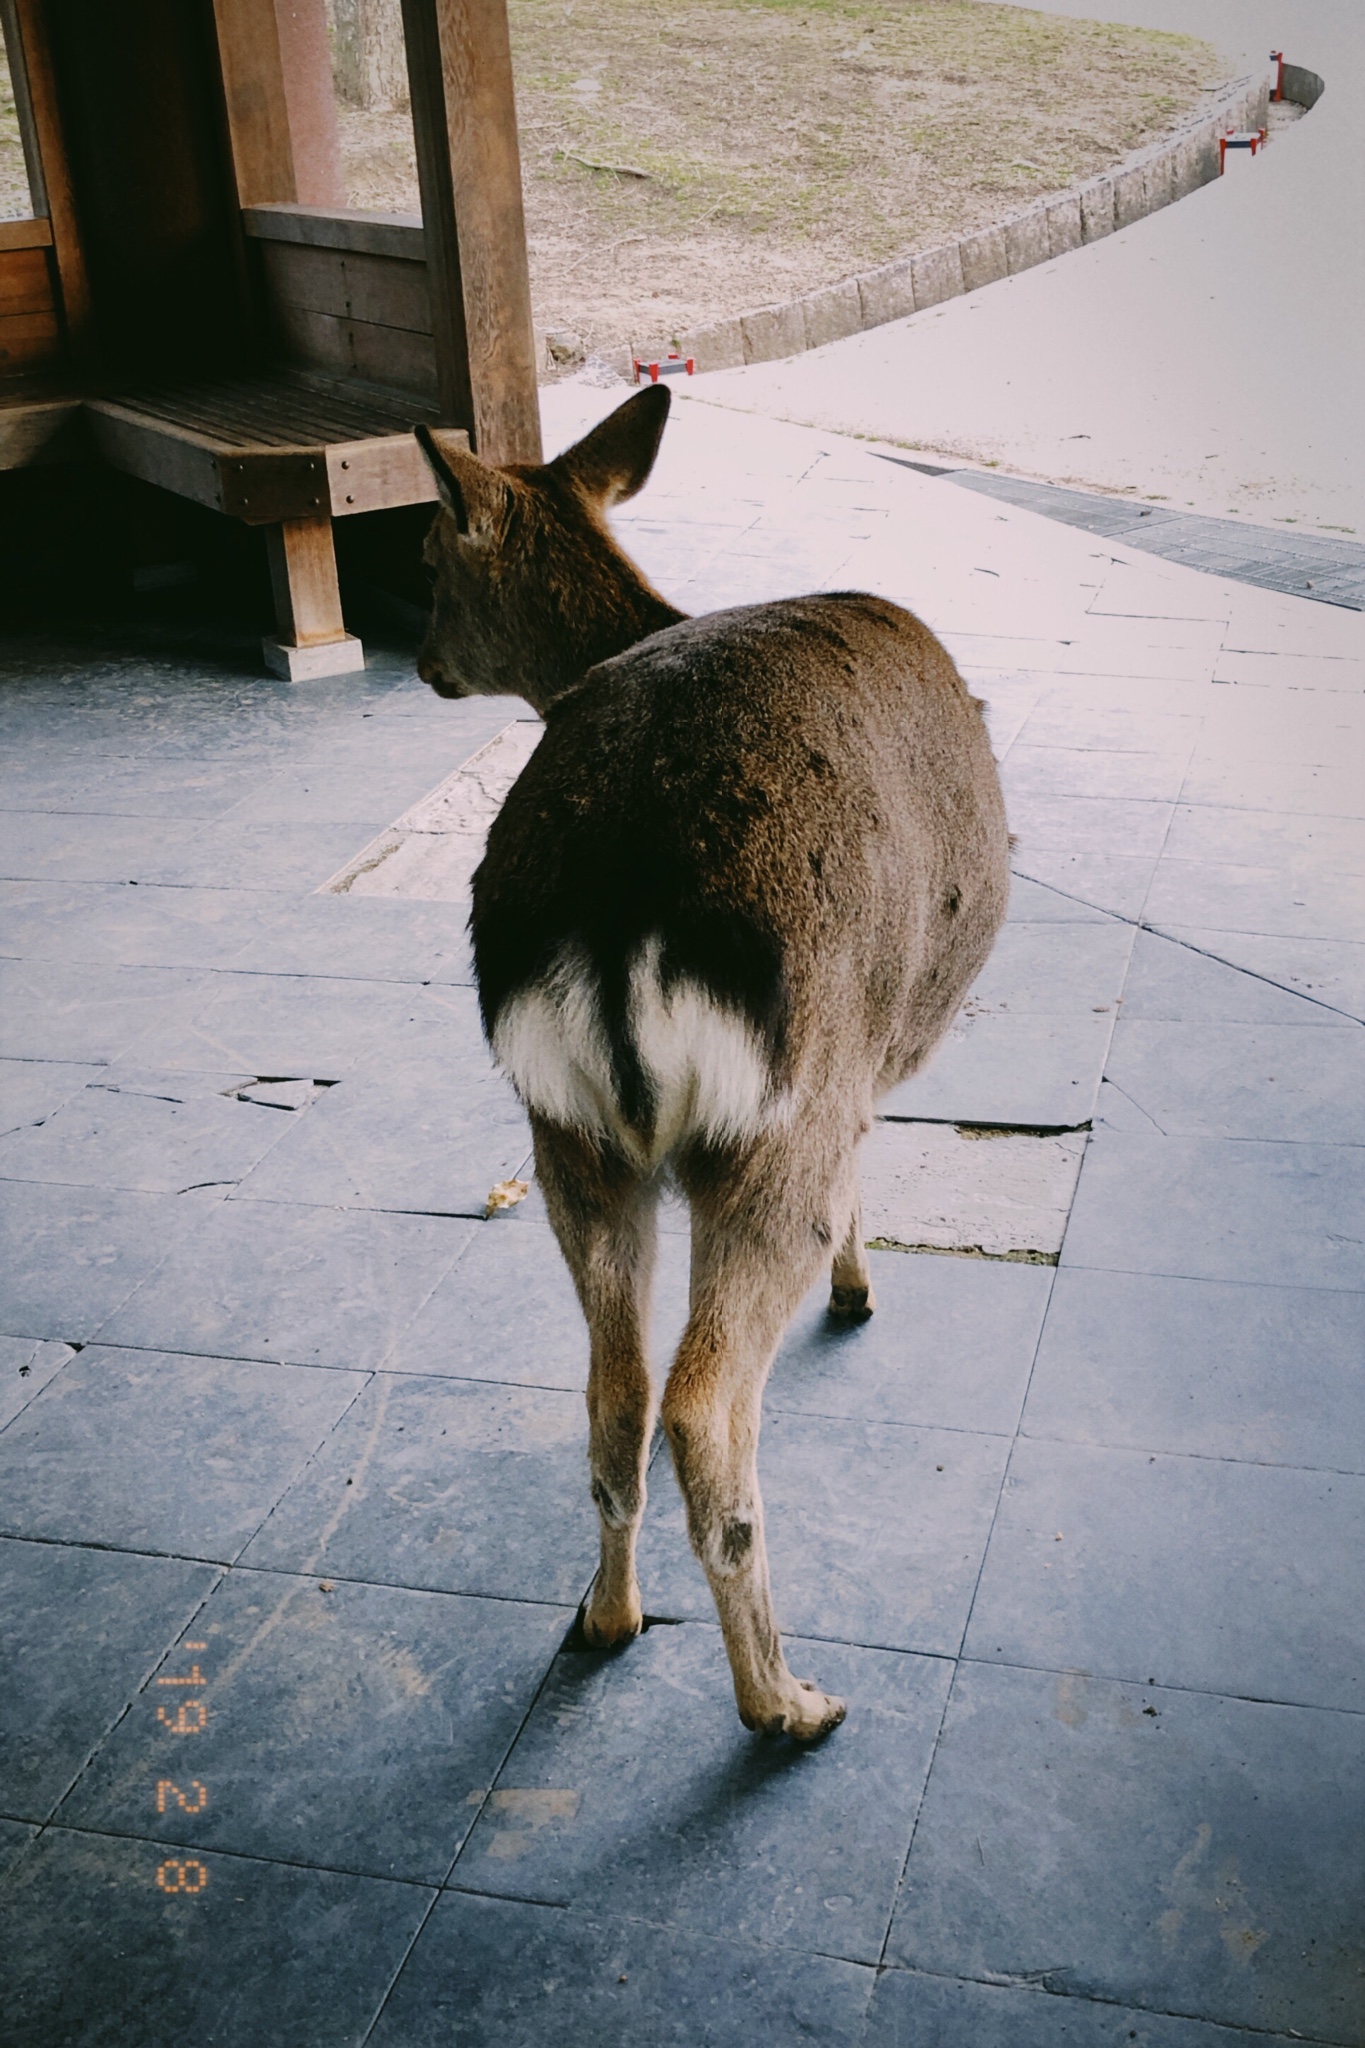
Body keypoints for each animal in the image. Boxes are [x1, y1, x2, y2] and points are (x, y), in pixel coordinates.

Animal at [411, 387, 1010, 1744]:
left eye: (425, 569)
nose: (419, 660)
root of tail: (614, 899)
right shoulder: (868, 1058)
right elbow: (864, 1165)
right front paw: (860, 1287)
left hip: (567, 1129)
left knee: (616, 1393)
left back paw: (608, 1615)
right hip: (779, 1104)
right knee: (701, 1403)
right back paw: (786, 1701)